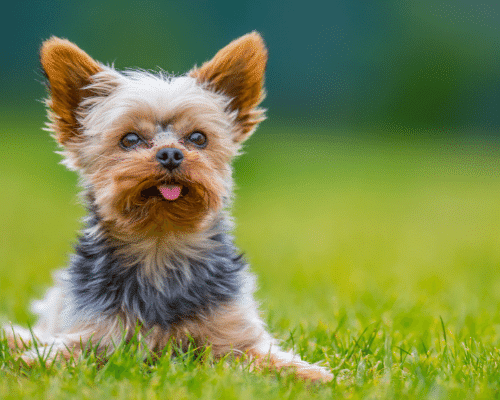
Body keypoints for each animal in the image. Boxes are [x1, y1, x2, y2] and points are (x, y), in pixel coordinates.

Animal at [3, 31, 334, 382]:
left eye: (198, 138)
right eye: (130, 139)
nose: (171, 154)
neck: (160, 242)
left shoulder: (233, 336)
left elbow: (265, 356)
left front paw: (313, 376)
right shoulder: (93, 334)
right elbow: (57, 355)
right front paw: (27, 362)